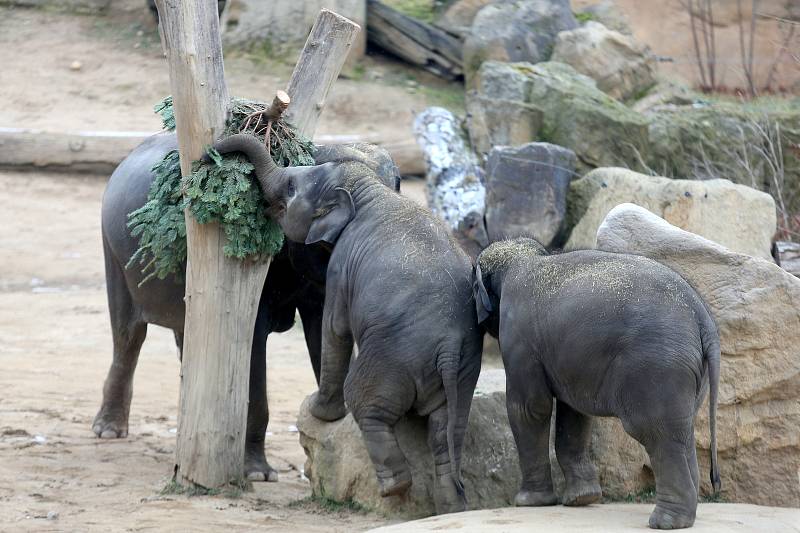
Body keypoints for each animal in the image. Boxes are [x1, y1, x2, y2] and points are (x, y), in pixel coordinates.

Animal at [94, 131, 400, 480]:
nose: (210, 154)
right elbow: (251, 344)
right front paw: (257, 474)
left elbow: (323, 337)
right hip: (112, 250)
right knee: (128, 334)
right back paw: (109, 431)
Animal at [209, 132, 482, 512]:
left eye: (291, 187)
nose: (210, 153)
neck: (367, 188)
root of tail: (449, 349)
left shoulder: (341, 264)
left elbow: (335, 327)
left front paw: (317, 410)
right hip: (460, 376)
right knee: (446, 430)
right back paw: (452, 505)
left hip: (392, 360)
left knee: (368, 405)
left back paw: (394, 489)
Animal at [472, 238, 720, 528]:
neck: (526, 257)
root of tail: (703, 318)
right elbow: (573, 412)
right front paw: (582, 499)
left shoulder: (518, 336)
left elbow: (530, 408)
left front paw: (528, 502)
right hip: (689, 372)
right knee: (682, 430)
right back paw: (683, 516)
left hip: (657, 367)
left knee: (655, 431)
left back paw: (665, 522)